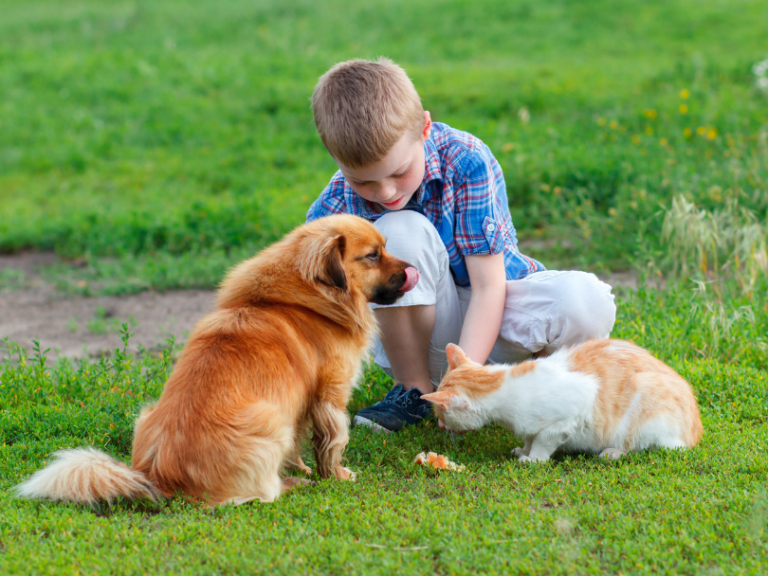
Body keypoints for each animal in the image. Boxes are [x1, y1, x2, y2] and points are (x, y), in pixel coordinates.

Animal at [15, 214, 416, 506]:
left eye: (384, 249)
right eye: (373, 255)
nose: (411, 268)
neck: (300, 301)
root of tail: (159, 475)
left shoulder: (299, 405)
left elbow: (301, 444)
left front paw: (304, 467)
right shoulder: (330, 395)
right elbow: (331, 443)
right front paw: (335, 475)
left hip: (152, 415)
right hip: (270, 422)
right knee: (259, 495)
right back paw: (287, 484)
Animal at [424, 340, 704, 462]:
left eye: (440, 413)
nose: (439, 424)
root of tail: (695, 432)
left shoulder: (573, 408)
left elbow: (542, 441)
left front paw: (533, 459)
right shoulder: (531, 426)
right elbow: (529, 437)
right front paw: (523, 450)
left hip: (645, 404)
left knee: (642, 445)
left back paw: (612, 452)